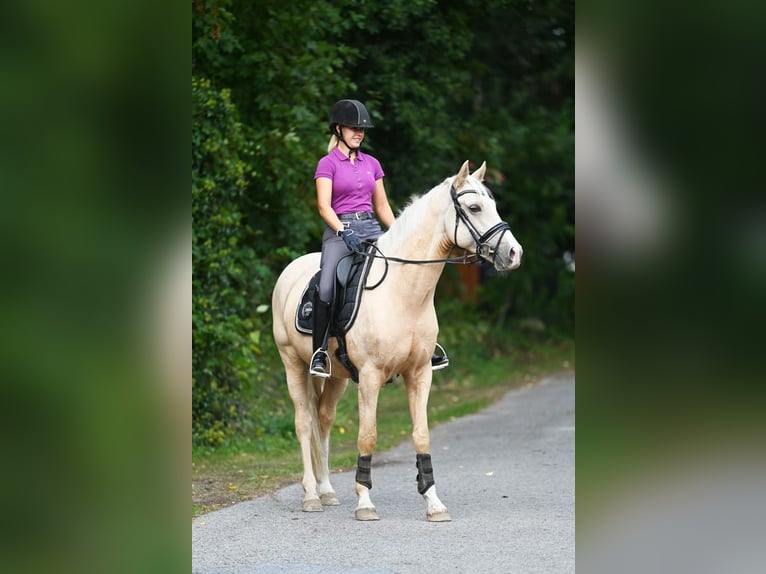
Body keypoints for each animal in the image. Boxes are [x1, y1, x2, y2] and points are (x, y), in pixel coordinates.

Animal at [272, 161, 524, 520]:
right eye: (475, 208)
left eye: (494, 205)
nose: (514, 253)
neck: (403, 292)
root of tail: (289, 271)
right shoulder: (370, 377)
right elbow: (368, 436)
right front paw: (365, 502)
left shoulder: (420, 373)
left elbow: (421, 434)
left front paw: (433, 502)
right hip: (292, 363)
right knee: (304, 423)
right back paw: (310, 496)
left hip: (336, 377)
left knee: (323, 420)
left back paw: (327, 491)